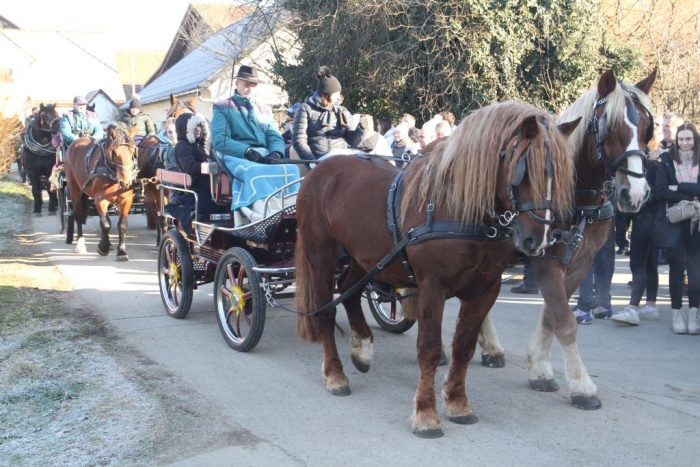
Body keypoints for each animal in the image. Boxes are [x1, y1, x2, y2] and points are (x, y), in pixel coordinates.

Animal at [63, 122, 139, 262]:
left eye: (133, 152)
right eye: (114, 152)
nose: (126, 183)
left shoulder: (127, 200)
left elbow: (122, 225)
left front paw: (121, 251)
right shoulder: (100, 199)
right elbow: (105, 223)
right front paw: (103, 247)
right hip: (74, 190)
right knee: (78, 215)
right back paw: (80, 244)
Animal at [294, 99, 580, 438]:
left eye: (563, 177)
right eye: (523, 171)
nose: (540, 240)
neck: (458, 209)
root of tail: (323, 168)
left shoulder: (485, 289)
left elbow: (464, 347)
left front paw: (457, 403)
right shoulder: (432, 286)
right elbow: (429, 348)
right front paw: (426, 414)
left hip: (367, 257)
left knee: (349, 291)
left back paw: (361, 348)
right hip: (321, 254)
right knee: (325, 311)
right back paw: (336, 374)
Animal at [476, 68, 656, 410]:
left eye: (646, 128)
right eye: (609, 127)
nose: (635, 194)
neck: (577, 200)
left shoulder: (580, 263)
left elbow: (552, 316)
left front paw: (540, 368)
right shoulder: (544, 259)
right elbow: (565, 320)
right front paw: (581, 385)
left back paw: (490, 346)